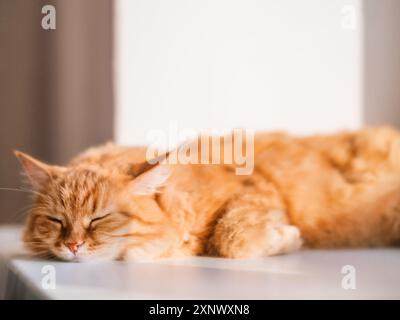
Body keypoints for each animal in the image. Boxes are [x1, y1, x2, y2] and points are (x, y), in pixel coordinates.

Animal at [14, 126, 400, 262]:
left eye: (99, 219)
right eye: (56, 221)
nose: (72, 245)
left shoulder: (254, 188)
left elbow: (231, 238)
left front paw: (286, 238)